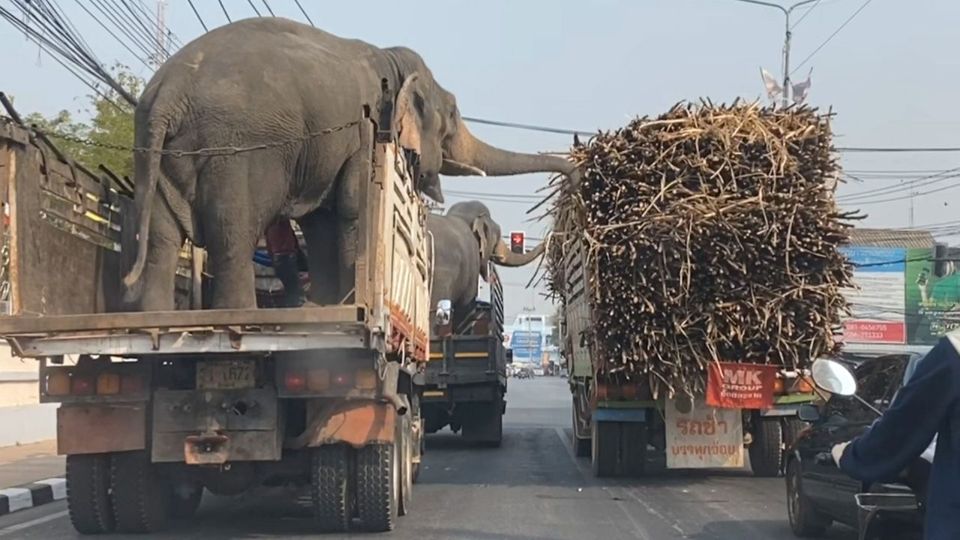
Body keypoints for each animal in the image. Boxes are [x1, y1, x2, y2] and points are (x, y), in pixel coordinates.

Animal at [124, 16, 580, 310]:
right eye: (451, 116)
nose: (575, 176)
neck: (391, 61)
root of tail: (168, 93)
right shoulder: (370, 129)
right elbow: (349, 208)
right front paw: (347, 303)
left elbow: (322, 219)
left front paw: (328, 304)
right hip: (236, 151)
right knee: (232, 233)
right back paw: (240, 317)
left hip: (162, 154)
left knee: (164, 237)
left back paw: (156, 318)